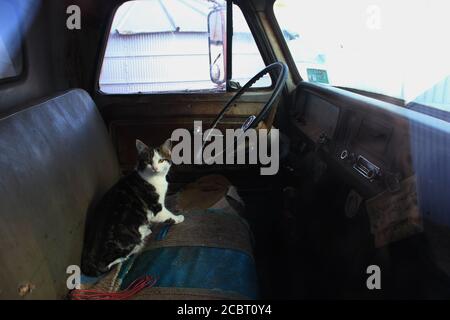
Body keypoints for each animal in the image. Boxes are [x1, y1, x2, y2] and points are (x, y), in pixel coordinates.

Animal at [81, 139, 185, 276]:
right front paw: (178, 218)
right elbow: (167, 215)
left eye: (161, 160)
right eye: (148, 161)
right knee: (109, 263)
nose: (155, 168)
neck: (154, 179)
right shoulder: (155, 207)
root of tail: (88, 261)